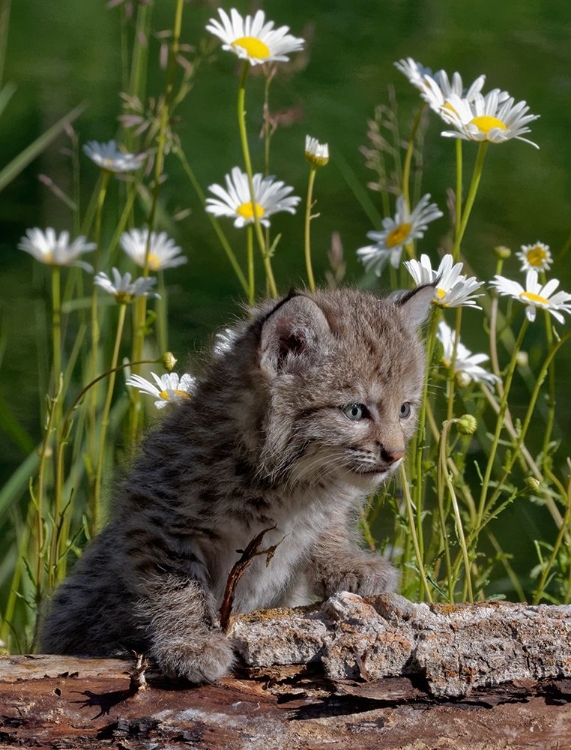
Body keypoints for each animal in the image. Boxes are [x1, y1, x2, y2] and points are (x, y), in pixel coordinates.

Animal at [40, 286, 434, 680]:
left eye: (405, 410)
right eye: (355, 411)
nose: (396, 455)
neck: (288, 480)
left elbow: (327, 527)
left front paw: (346, 563)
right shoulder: (157, 519)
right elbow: (178, 585)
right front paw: (193, 643)